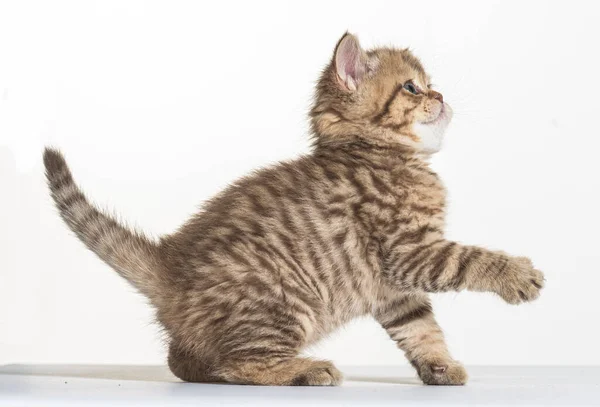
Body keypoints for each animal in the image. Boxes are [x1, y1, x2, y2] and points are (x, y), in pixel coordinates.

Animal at [43, 33, 544, 388]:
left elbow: (421, 327)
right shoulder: (409, 252)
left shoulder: (392, 288)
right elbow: (469, 259)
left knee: (185, 362)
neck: (380, 154)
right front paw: (516, 275)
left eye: (428, 84)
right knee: (239, 363)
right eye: (411, 87)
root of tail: (170, 267)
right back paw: (304, 369)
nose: (439, 96)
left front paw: (439, 366)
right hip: (284, 299)